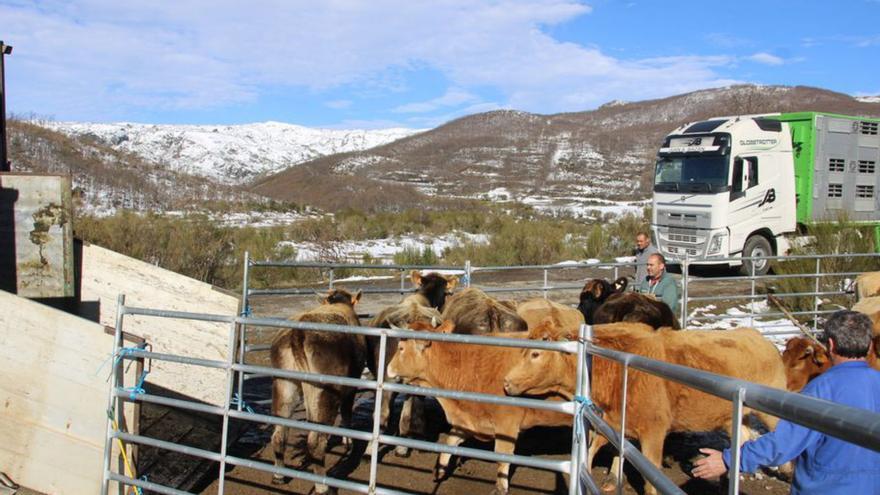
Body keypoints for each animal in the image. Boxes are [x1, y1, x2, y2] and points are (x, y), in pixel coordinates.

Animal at [268, 288, 364, 494]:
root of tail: (298, 331)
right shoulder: (352, 384)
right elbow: (347, 413)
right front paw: (348, 441)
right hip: (326, 391)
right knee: (315, 442)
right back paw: (322, 487)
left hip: (284, 384)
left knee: (279, 433)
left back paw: (279, 475)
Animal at [386, 320, 572, 494]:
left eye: (401, 348)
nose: (388, 368)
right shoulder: (468, 420)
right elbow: (450, 441)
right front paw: (439, 470)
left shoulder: (507, 424)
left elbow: (503, 456)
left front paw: (501, 488)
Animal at [502, 320, 784, 494]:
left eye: (536, 353)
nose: (506, 382)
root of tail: (758, 338)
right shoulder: (614, 421)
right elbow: (596, 450)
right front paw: (607, 478)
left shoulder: (654, 432)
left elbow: (650, 478)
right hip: (732, 417)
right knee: (745, 438)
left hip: (771, 412)